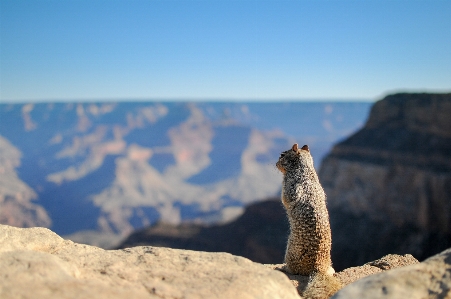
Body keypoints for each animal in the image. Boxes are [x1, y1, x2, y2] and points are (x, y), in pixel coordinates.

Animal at [276, 144, 342, 298]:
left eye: (282, 155)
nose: (275, 163)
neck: (304, 171)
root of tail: (318, 268)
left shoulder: (289, 188)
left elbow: (285, 199)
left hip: (290, 252)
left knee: (294, 270)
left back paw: (283, 268)